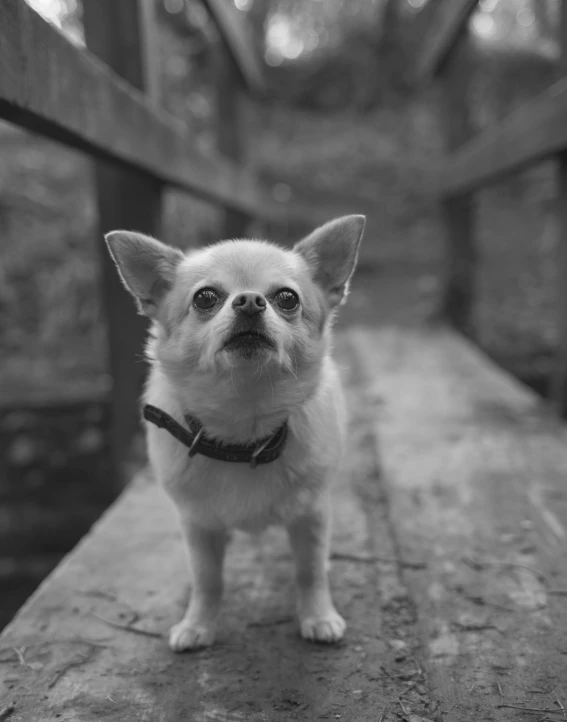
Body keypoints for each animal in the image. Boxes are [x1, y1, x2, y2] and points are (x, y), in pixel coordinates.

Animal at [105, 214, 366, 652]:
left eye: (287, 298)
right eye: (205, 298)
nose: (249, 301)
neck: (244, 434)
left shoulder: (311, 514)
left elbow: (310, 570)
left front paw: (318, 616)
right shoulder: (198, 525)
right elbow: (207, 579)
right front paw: (197, 624)